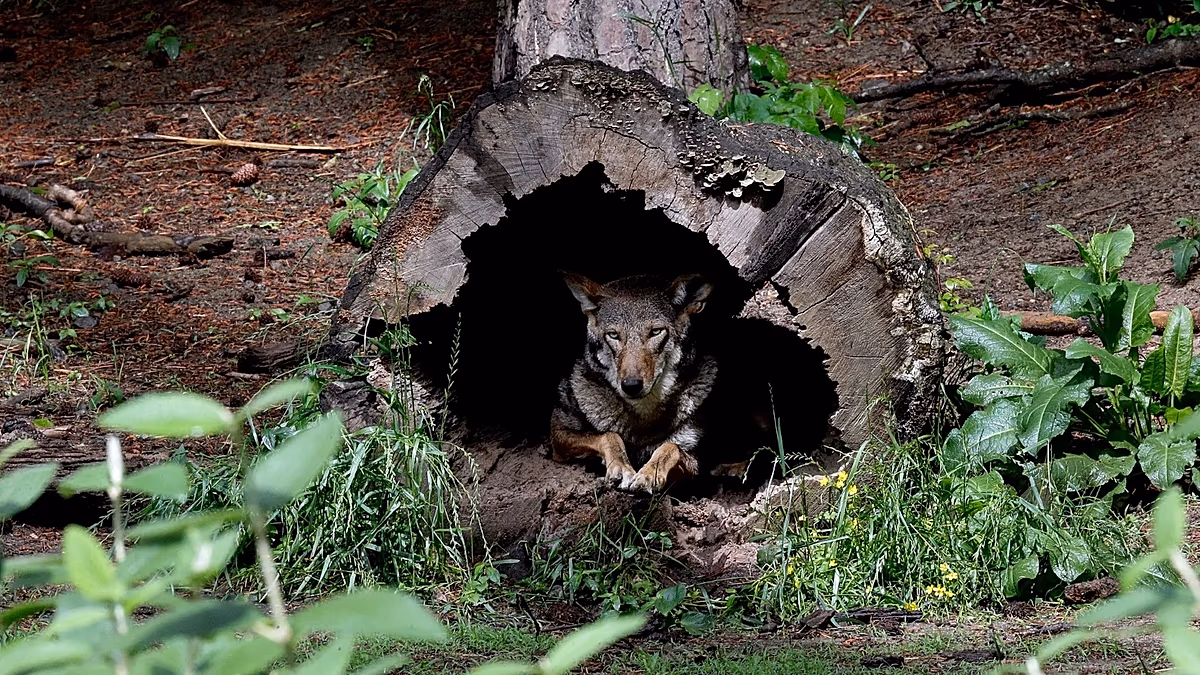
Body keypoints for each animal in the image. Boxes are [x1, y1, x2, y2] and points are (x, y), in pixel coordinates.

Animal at [550, 272, 717, 493]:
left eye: (656, 332)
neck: (644, 415)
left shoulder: (697, 465)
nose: (631, 385)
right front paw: (621, 468)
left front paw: (649, 474)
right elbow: (609, 435)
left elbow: (670, 447)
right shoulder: (558, 433)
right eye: (613, 335)